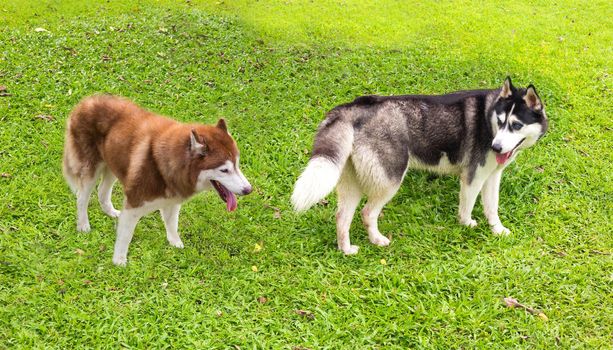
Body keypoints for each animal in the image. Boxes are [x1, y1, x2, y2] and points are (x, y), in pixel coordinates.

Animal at [292, 78, 548, 254]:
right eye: (502, 122)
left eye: (516, 125)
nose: (495, 147)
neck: (489, 116)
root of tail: (353, 106)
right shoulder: (472, 177)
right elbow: (467, 208)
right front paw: (467, 224)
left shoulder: (492, 176)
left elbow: (492, 207)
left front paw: (497, 229)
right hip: (390, 180)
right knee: (367, 212)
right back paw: (377, 239)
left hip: (352, 183)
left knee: (342, 217)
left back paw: (346, 250)